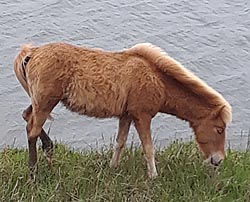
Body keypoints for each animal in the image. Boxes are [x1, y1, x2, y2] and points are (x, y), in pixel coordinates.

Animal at [14, 42, 232, 178]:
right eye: (219, 129)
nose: (219, 160)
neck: (156, 79)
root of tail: (31, 53)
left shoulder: (126, 115)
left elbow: (120, 142)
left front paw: (113, 167)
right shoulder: (142, 116)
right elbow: (148, 148)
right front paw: (154, 176)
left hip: (41, 101)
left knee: (27, 117)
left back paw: (49, 149)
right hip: (46, 102)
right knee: (32, 130)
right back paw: (33, 173)